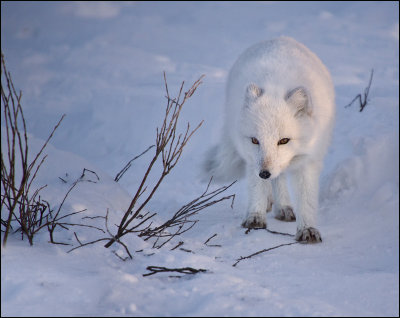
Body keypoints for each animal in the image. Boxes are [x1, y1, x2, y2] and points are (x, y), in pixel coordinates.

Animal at [203, 36, 334, 242]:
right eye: (255, 140)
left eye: (284, 140)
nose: (264, 173)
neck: (277, 85)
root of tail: (279, 38)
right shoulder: (252, 159)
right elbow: (257, 186)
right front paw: (255, 216)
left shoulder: (308, 160)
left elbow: (306, 198)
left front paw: (307, 229)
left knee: (279, 178)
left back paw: (282, 207)